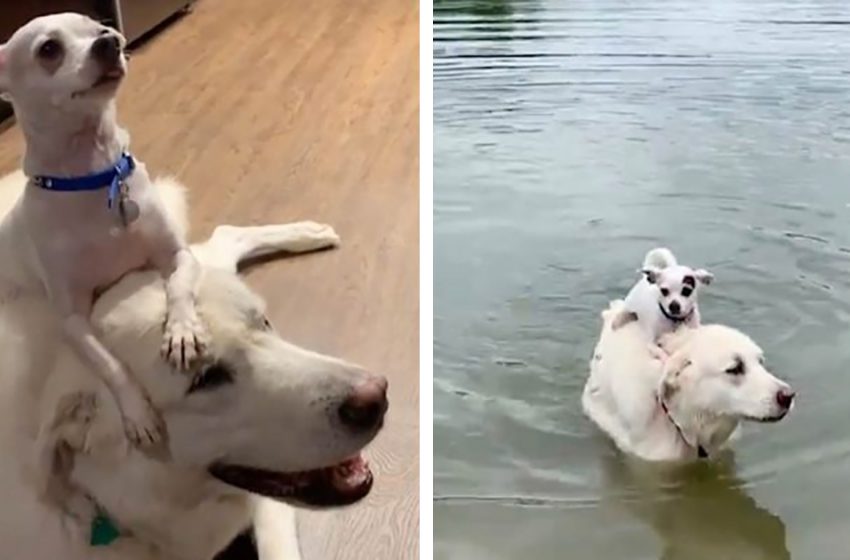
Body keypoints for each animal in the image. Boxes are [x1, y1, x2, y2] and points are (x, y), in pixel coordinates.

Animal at [0, 14, 205, 450]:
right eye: (48, 49)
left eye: (100, 28)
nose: (111, 42)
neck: (94, 176)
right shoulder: (73, 320)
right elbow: (109, 364)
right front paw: (138, 412)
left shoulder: (177, 256)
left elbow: (179, 290)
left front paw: (181, 332)